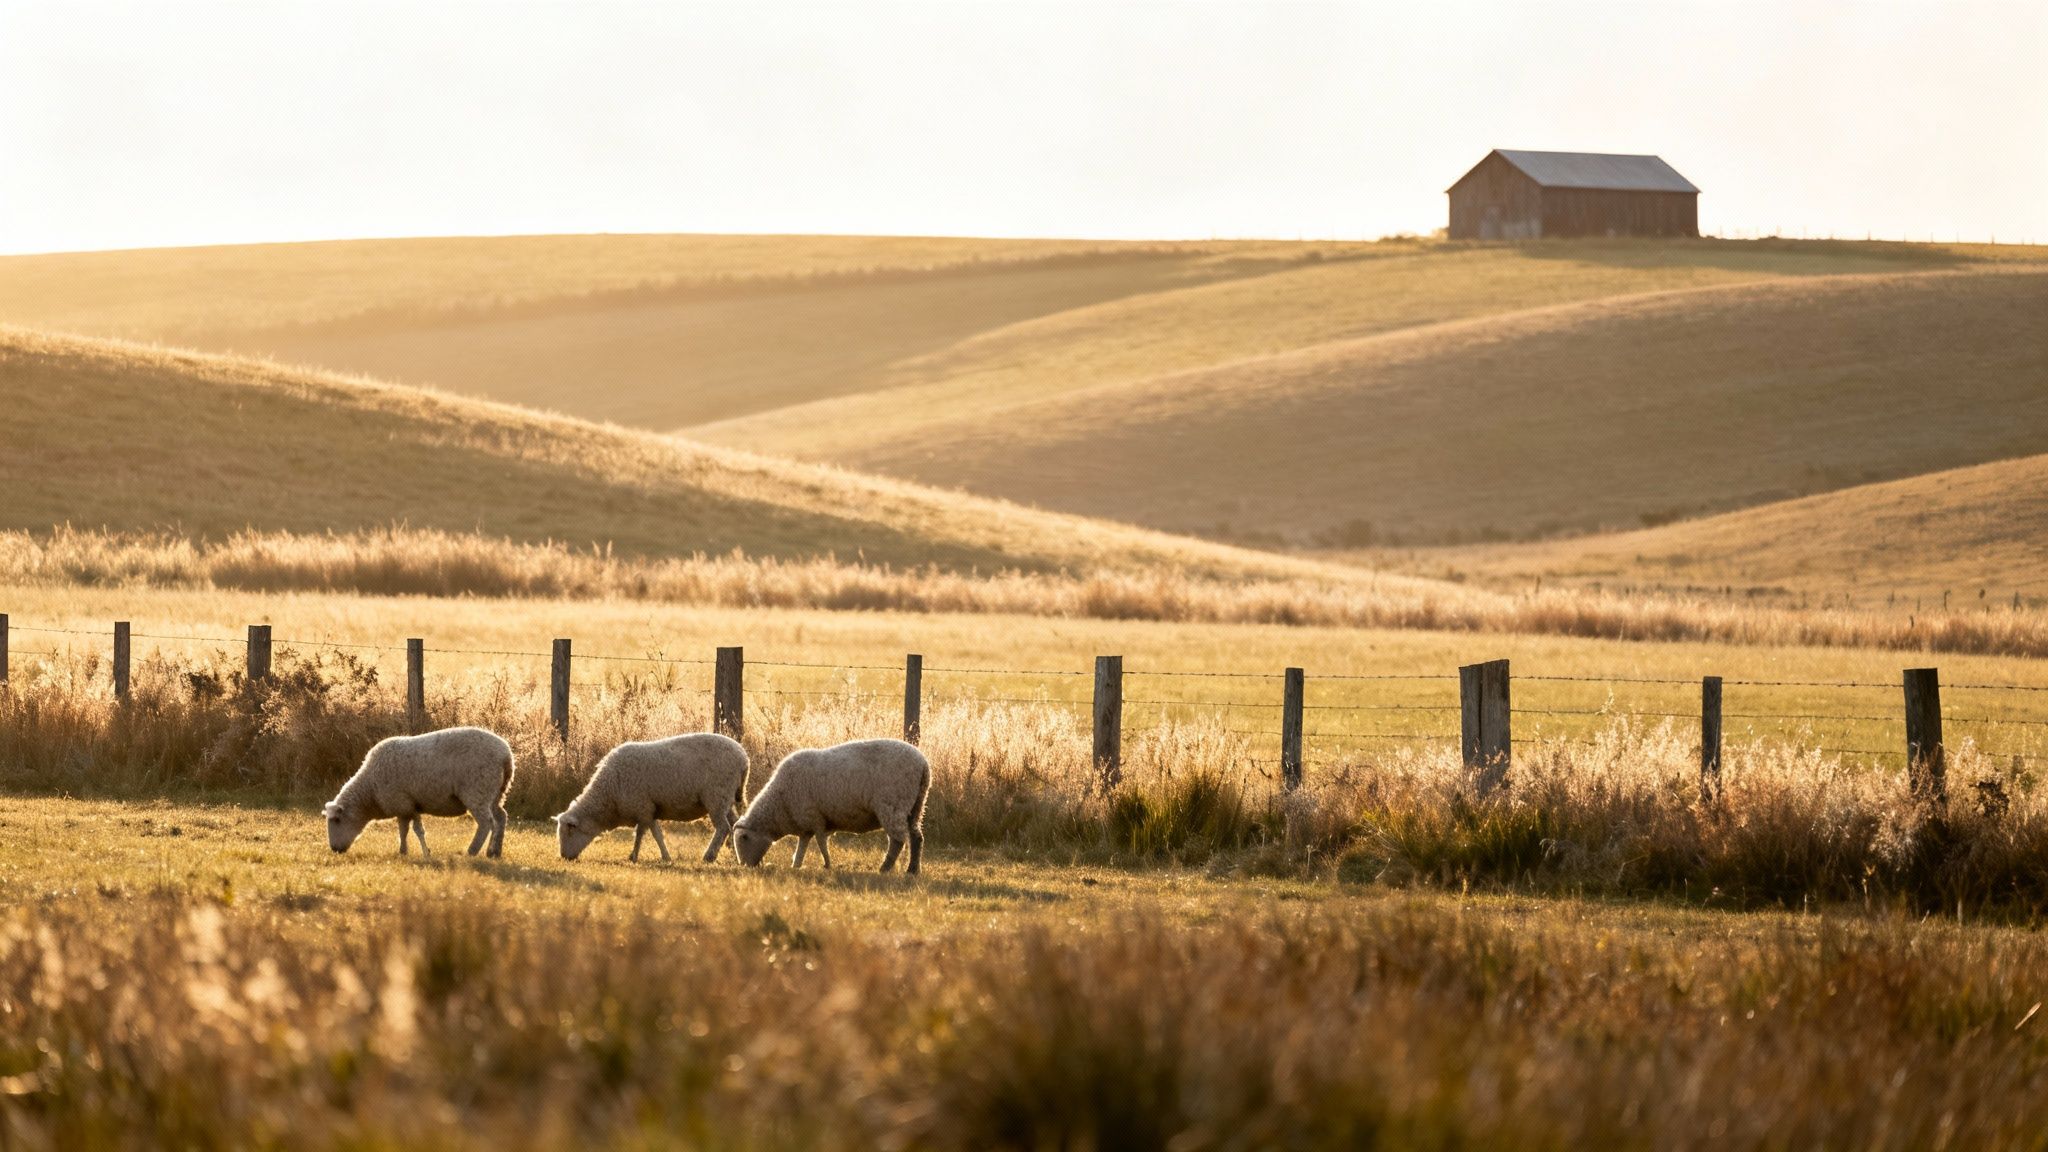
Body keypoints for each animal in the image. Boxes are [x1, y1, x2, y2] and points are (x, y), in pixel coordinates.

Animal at [323, 726, 515, 857]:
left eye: (337, 820)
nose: (334, 849)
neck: (369, 791)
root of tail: (506, 755)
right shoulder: (404, 808)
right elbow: (403, 830)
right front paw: (403, 851)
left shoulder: (406, 803)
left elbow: (417, 830)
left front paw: (425, 853)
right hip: (496, 793)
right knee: (501, 818)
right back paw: (494, 852)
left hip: (478, 791)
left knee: (486, 823)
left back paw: (472, 851)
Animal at [554, 733, 750, 864]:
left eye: (569, 831)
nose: (564, 857)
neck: (608, 794)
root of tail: (744, 757)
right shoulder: (650, 809)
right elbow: (656, 834)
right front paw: (665, 856)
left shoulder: (642, 807)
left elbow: (641, 834)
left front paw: (633, 857)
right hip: (725, 799)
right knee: (734, 823)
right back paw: (735, 854)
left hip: (716, 796)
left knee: (723, 827)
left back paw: (709, 856)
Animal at [732, 737, 930, 874]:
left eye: (744, 838)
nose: (745, 867)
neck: (780, 803)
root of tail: (923, 763)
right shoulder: (807, 824)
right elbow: (802, 846)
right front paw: (796, 866)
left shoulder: (814, 817)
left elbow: (821, 843)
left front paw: (826, 865)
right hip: (916, 806)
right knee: (917, 838)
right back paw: (912, 870)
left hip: (893, 805)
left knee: (897, 840)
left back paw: (885, 868)